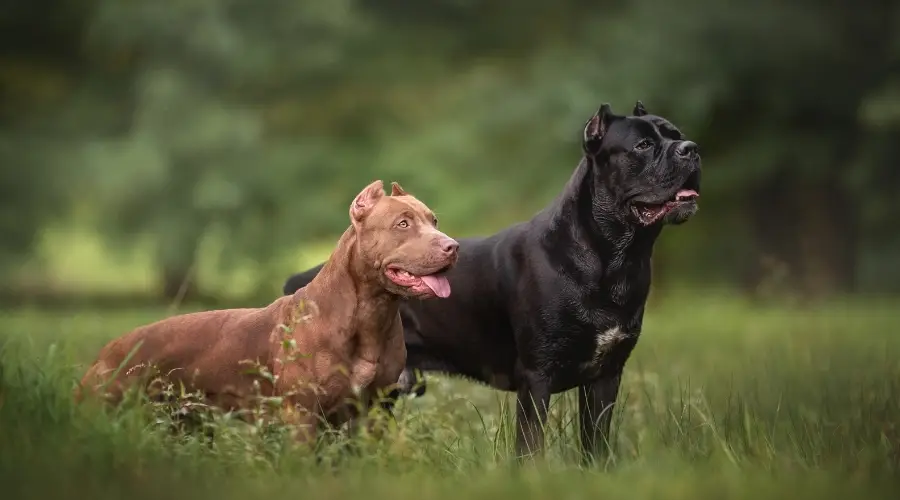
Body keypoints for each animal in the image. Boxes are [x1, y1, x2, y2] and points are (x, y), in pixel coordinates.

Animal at [77, 180, 458, 442]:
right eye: (402, 224)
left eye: (435, 220)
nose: (452, 246)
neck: (370, 315)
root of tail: (105, 352)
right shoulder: (301, 416)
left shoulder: (375, 411)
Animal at [284, 101, 700, 460]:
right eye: (643, 145)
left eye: (677, 134)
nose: (691, 149)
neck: (615, 255)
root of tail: (301, 280)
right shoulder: (537, 377)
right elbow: (530, 448)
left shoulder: (605, 376)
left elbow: (595, 443)